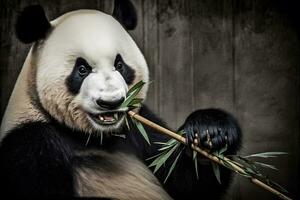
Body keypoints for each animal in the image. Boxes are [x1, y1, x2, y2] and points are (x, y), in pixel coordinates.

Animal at [0, 0, 241, 199]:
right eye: (82, 69)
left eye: (119, 64)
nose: (111, 102)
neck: (94, 137)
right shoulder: (30, 145)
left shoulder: (139, 127)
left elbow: (188, 181)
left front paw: (210, 132)